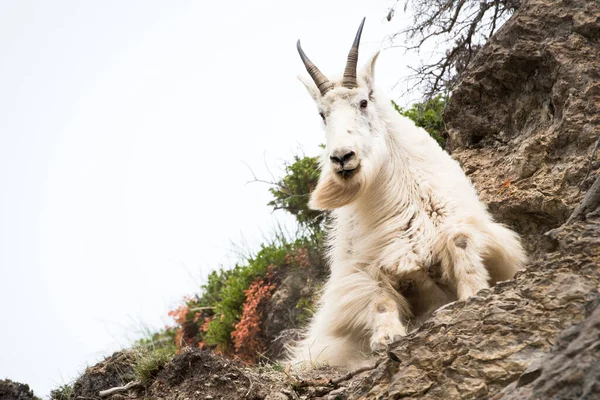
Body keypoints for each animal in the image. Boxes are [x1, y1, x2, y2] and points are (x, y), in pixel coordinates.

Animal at [290, 19, 524, 368]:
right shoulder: (359, 269)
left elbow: (461, 241)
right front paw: (386, 337)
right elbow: (378, 297)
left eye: (364, 101)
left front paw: (473, 291)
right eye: (322, 114)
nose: (342, 158)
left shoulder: (476, 229)